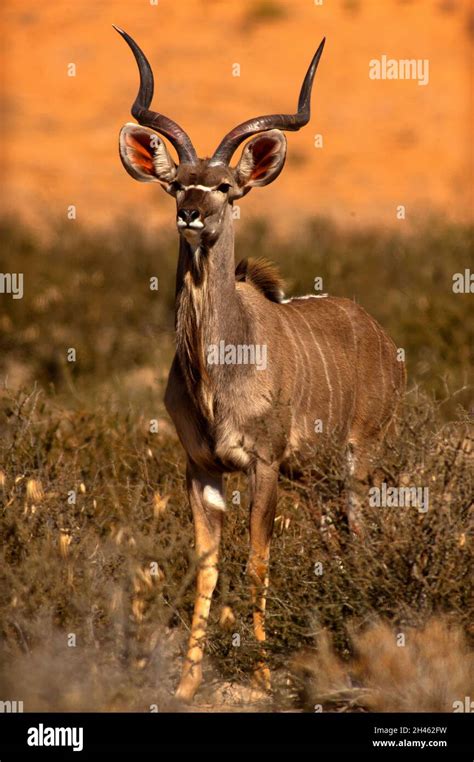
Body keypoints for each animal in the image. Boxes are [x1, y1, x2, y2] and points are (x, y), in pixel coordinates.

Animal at [115, 26, 408, 696]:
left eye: (225, 185)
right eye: (178, 182)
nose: (191, 212)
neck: (216, 372)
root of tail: (385, 341)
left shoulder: (265, 464)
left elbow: (256, 561)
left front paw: (265, 674)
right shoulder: (201, 466)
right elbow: (206, 567)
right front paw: (186, 684)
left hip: (358, 460)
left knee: (362, 536)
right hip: (316, 479)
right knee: (335, 542)